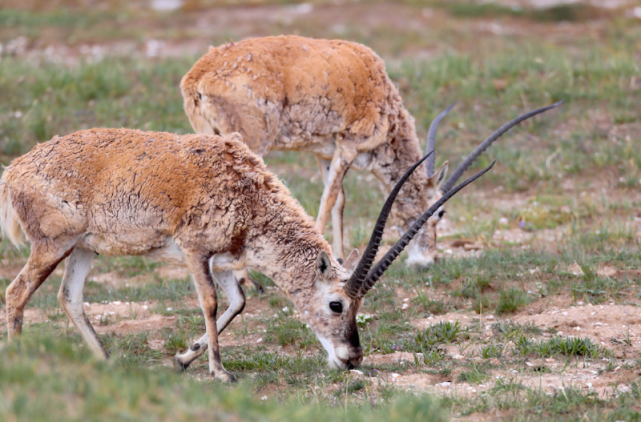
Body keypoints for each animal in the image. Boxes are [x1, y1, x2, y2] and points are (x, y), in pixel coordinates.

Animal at [0, 127, 492, 378]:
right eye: (337, 304)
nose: (352, 358)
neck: (248, 191)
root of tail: (15, 171)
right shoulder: (194, 250)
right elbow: (210, 302)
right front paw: (220, 372)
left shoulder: (222, 261)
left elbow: (238, 302)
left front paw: (184, 357)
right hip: (53, 245)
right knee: (17, 293)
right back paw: (22, 360)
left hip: (84, 248)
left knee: (69, 297)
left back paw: (106, 361)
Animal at [180, 34, 560, 286]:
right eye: (440, 212)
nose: (428, 261)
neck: (380, 89)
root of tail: (198, 78)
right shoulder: (348, 146)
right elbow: (328, 200)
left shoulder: (324, 152)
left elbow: (339, 202)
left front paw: (339, 259)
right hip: (251, 142)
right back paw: (247, 281)